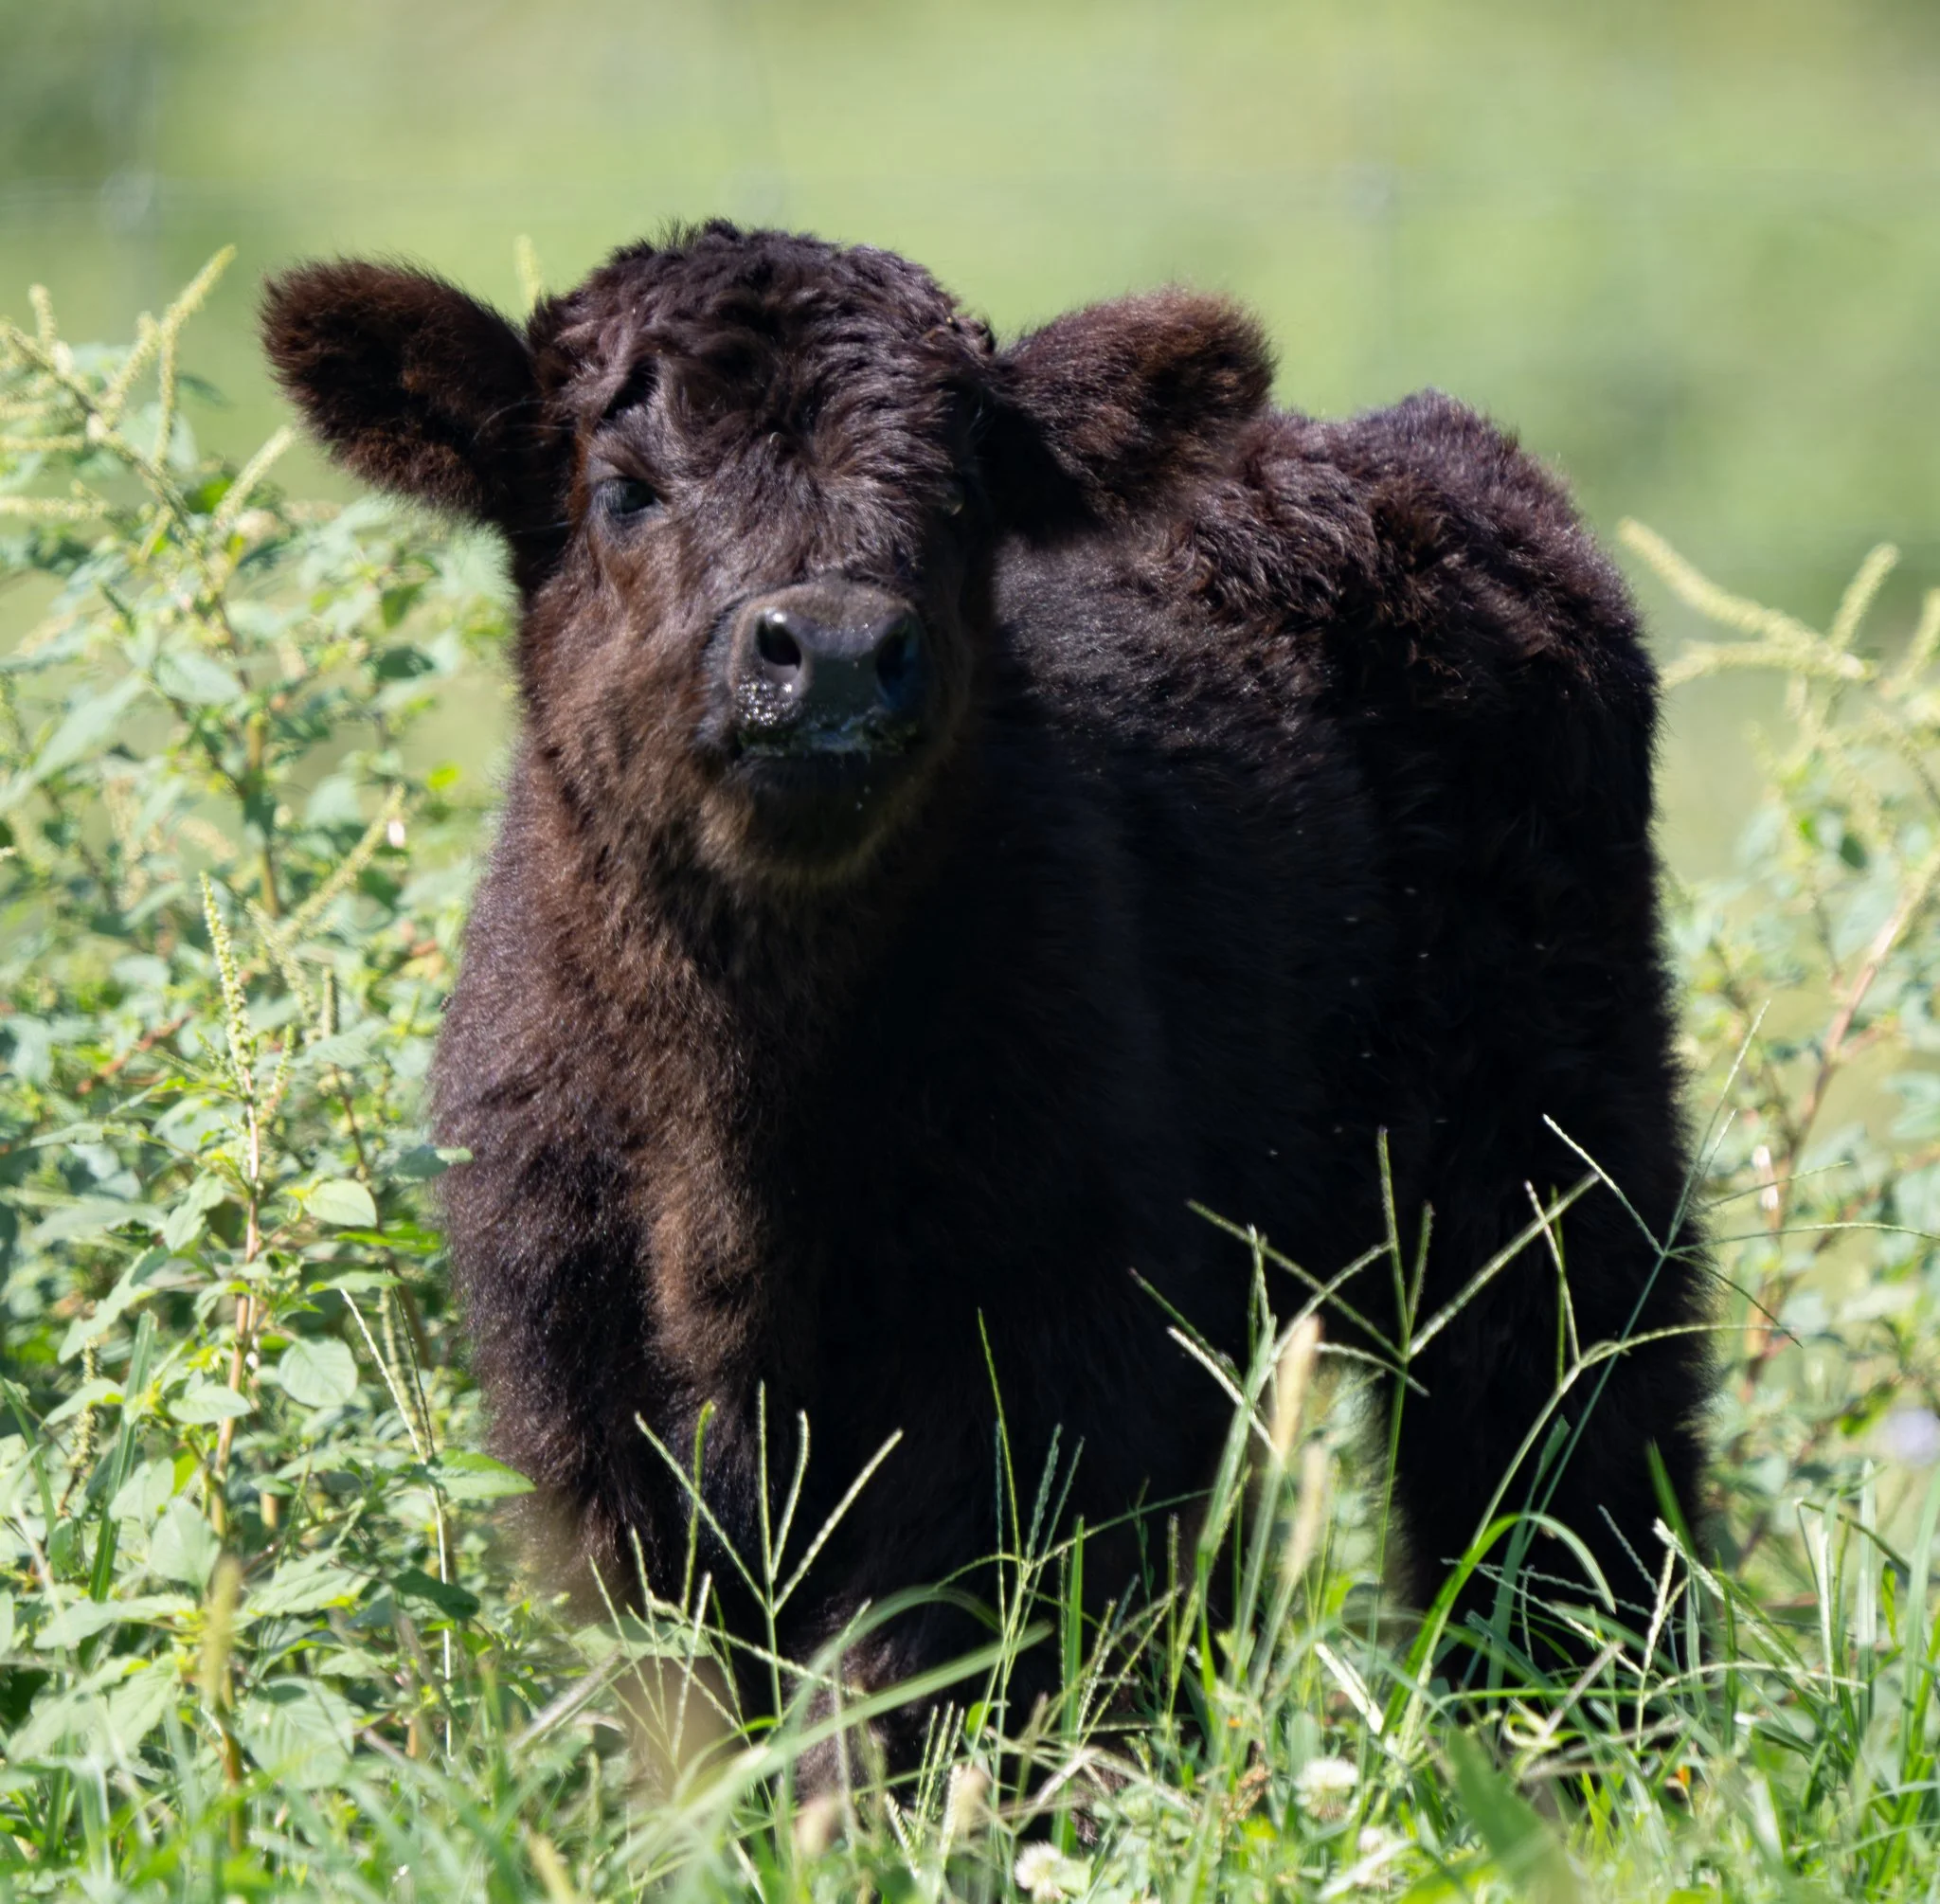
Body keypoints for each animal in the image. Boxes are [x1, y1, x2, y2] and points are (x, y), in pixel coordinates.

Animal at [262, 221, 1710, 1764]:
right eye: (623, 490)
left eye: (961, 494)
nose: (834, 650)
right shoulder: (583, 1404)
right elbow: (689, 1709)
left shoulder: (1031, 1376)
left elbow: (900, 1689)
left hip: (1551, 1153)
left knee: (1566, 1463)